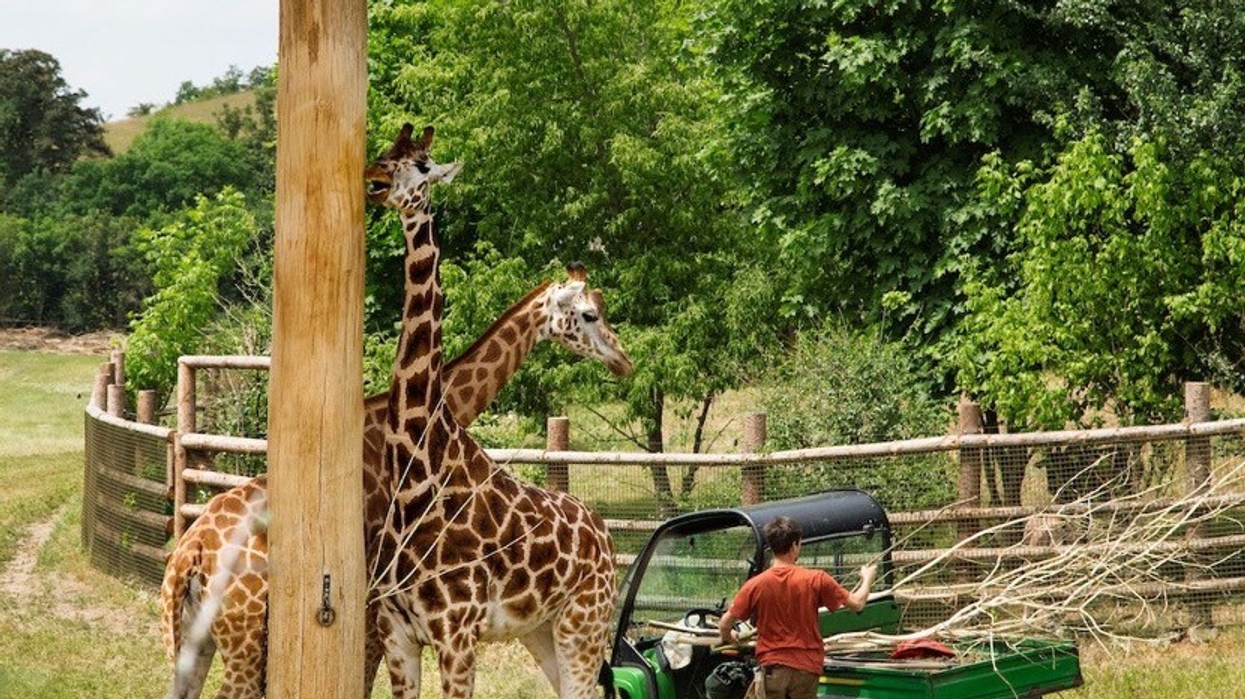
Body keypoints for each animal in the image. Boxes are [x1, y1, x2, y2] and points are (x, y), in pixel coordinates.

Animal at [160, 263, 633, 699]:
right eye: (590, 314)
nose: (623, 361)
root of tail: (189, 555)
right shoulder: (372, 609)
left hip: (191, 639)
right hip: (243, 641)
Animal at [365, 123, 617, 699]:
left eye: (421, 167)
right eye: (385, 154)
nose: (372, 181)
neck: (416, 474)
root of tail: (605, 533)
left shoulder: (457, 632)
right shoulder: (395, 632)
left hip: (584, 623)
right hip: (540, 631)